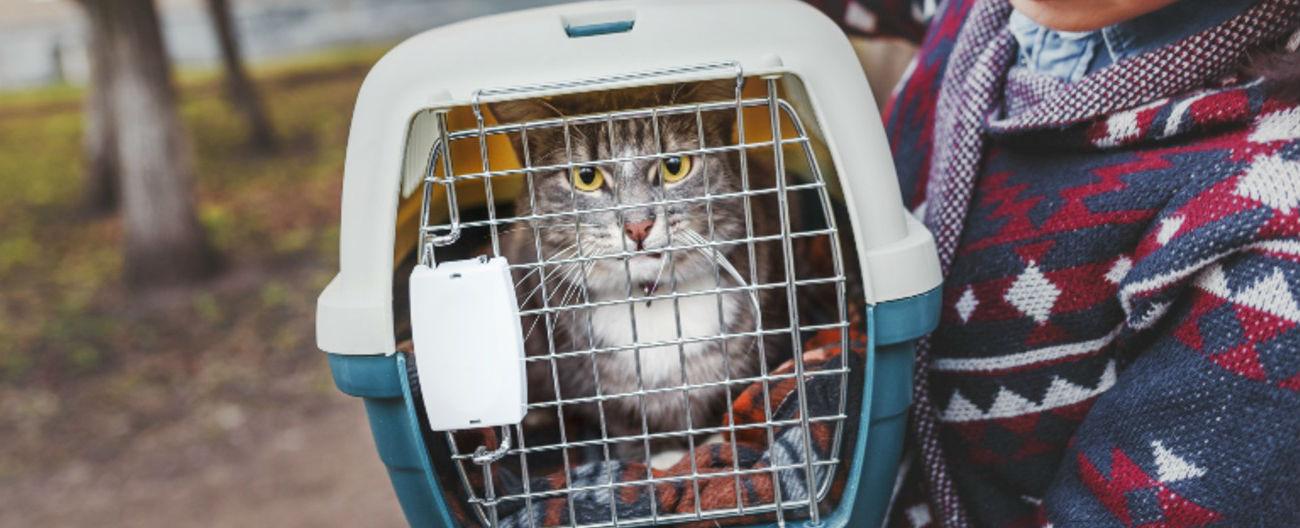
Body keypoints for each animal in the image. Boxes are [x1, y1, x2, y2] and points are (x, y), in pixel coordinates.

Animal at [488, 80, 785, 460]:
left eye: (674, 166)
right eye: (586, 177)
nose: (637, 225)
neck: (649, 296)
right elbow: (622, 420)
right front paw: (662, 457)